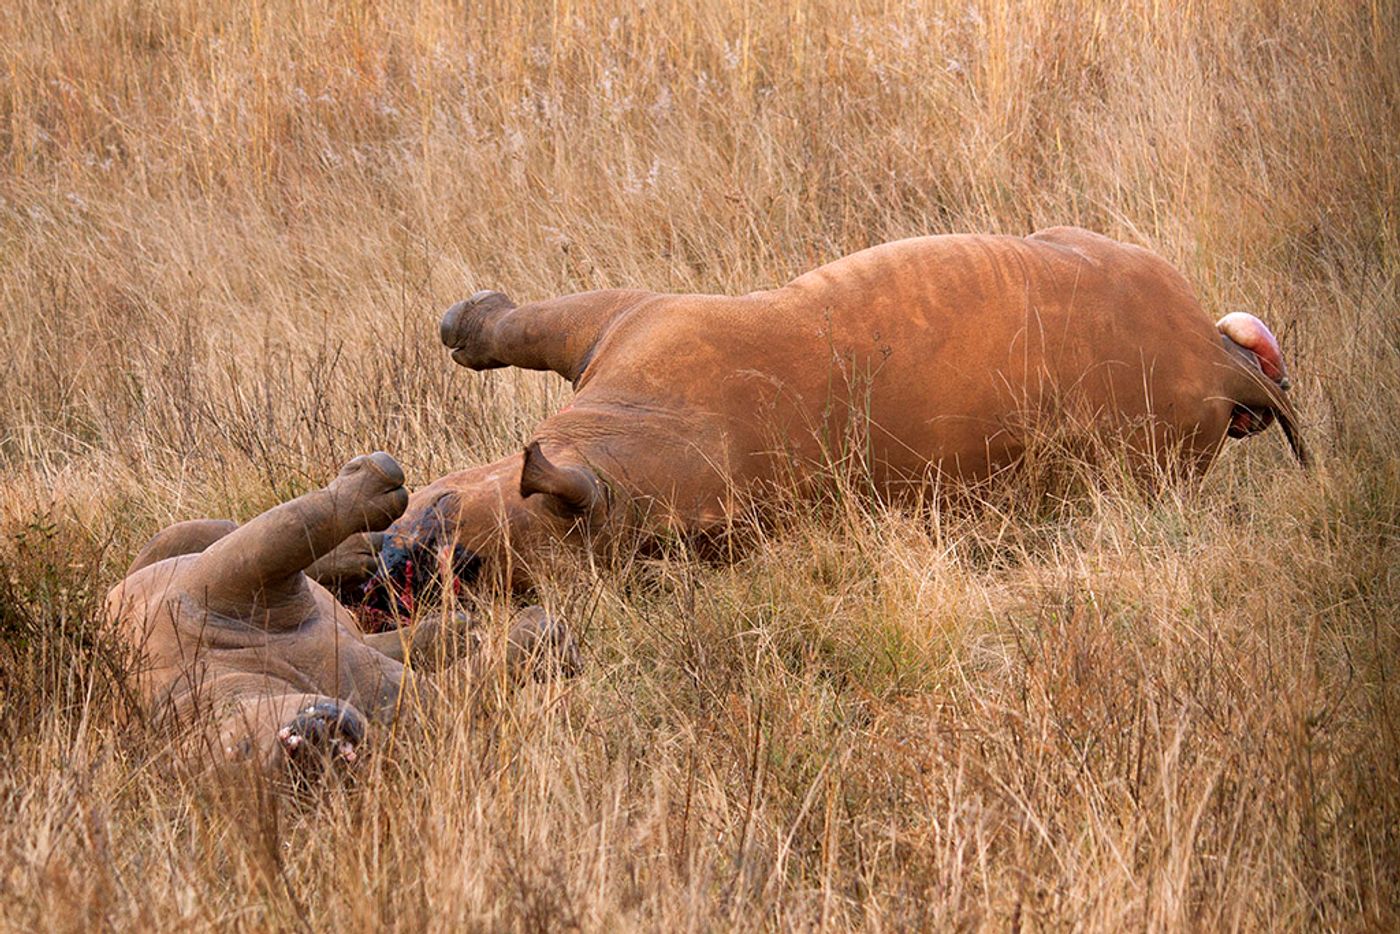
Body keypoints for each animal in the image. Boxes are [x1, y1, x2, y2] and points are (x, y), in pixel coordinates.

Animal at [378, 222, 1304, 596]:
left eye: (474, 570)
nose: (393, 577)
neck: (618, 476)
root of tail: (1224, 371)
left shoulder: (634, 314)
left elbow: (522, 321)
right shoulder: (617, 327)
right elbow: (516, 327)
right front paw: (463, 324)